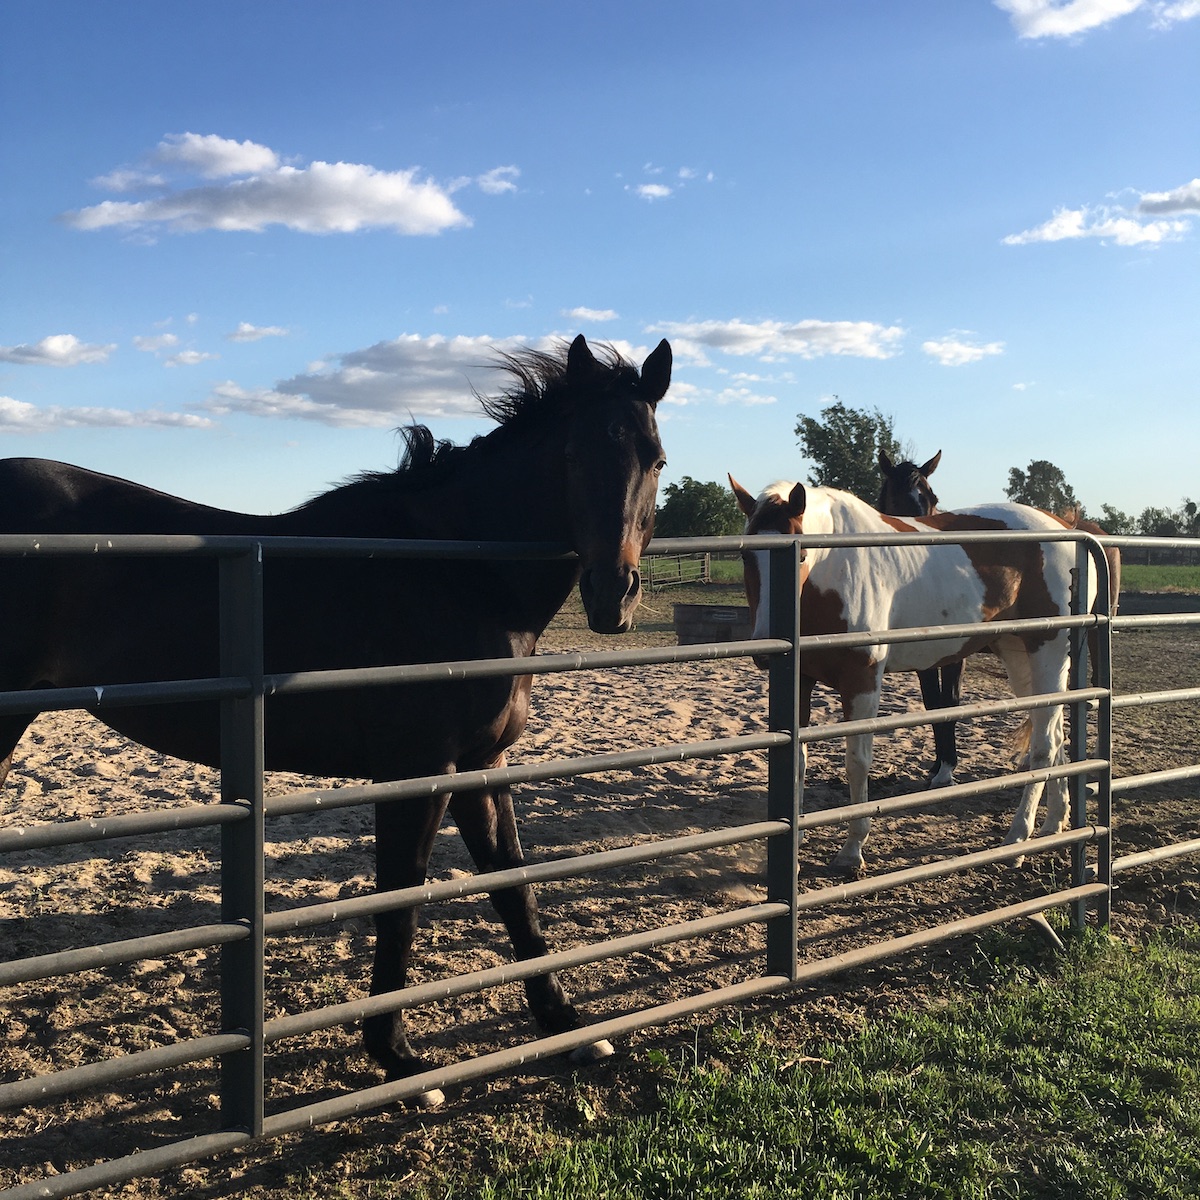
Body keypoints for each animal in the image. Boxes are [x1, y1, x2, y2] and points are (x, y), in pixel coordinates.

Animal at [0, 333, 676, 1099]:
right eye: (572, 455)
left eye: (655, 459)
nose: (613, 596)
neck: (461, 576)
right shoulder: (418, 770)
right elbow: (400, 897)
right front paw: (397, 1055)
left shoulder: (480, 765)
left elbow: (512, 886)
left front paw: (567, 1026)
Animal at [729, 472, 1099, 878]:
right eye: (746, 555)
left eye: (800, 555)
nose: (766, 650)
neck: (836, 567)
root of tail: (1065, 526)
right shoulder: (799, 680)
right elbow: (797, 764)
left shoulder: (862, 680)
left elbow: (857, 762)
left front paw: (852, 849)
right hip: (1020, 655)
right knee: (1054, 734)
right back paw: (1054, 824)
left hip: (1049, 650)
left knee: (1044, 746)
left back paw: (1017, 839)